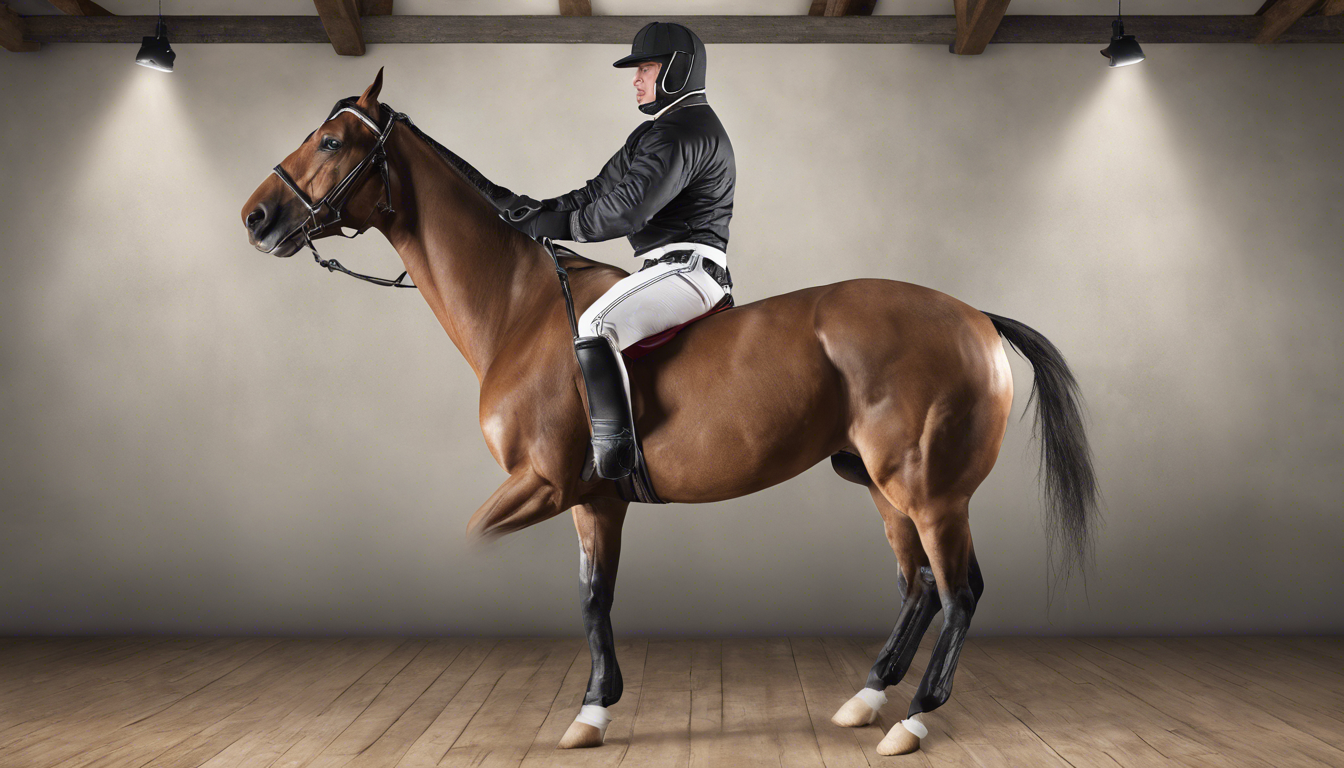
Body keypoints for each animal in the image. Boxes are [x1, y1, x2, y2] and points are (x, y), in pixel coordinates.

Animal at [241, 70, 1098, 756]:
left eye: (330, 141)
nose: (255, 217)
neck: (518, 310)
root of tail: (975, 316)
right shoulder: (593, 501)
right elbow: (594, 598)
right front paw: (594, 711)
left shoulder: (542, 485)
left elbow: (483, 542)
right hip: (885, 489)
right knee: (917, 587)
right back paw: (866, 698)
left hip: (931, 492)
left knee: (959, 593)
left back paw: (913, 719)